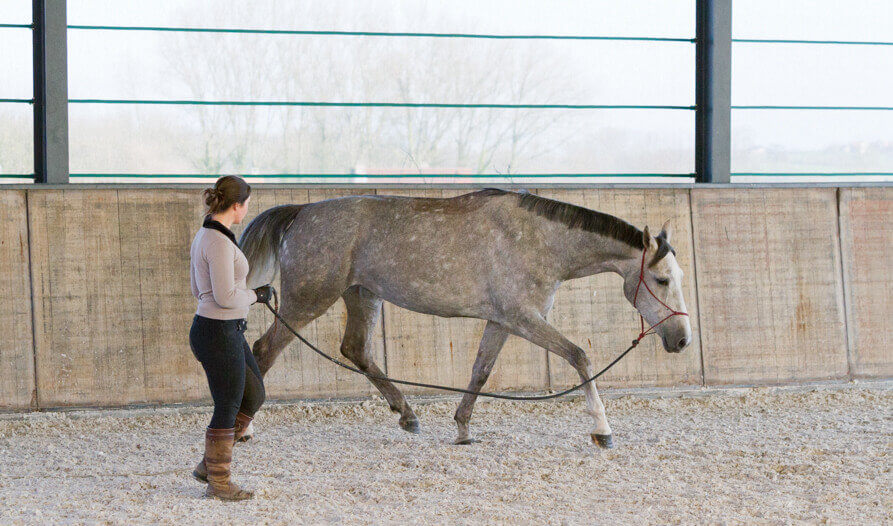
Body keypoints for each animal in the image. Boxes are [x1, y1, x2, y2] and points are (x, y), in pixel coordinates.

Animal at [237, 190, 688, 450]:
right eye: (662, 280)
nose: (682, 340)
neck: (541, 240)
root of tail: (301, 212)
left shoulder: (503, 322)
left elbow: (480, 372)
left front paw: (463, 429)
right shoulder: (524, 319)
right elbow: (580, 357)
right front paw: (602, 430)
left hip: (362, 295)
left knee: (355, 350)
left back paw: (408, 415)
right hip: (308, 300)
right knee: (265, 349)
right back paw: (243, 431)